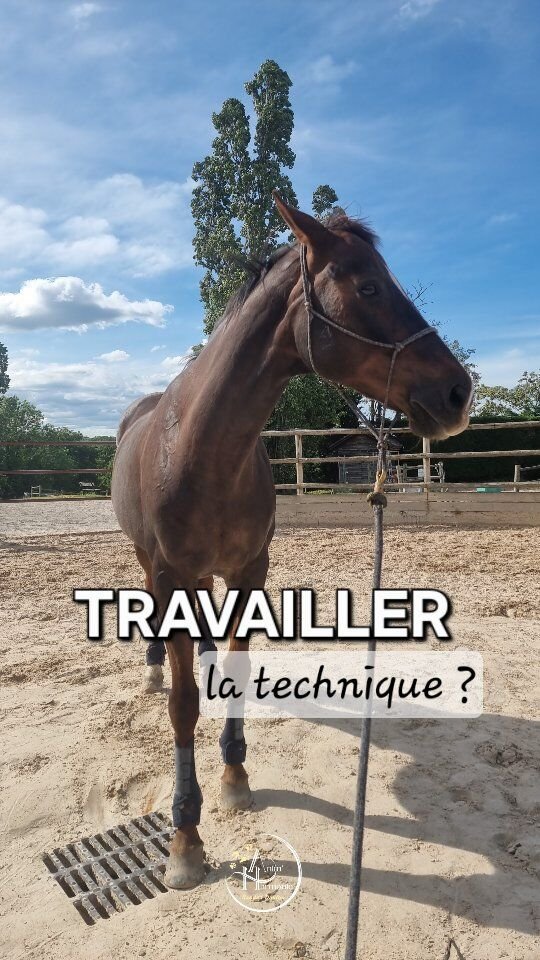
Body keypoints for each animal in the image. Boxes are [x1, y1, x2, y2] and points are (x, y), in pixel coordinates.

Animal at [111, 194, 473, 889]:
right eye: (367, 285)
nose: (457, 392)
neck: (202, 449)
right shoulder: (172, 575)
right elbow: (182, 708)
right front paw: (185, 838)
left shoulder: (250, 570)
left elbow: (235, 668)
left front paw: (234, 775)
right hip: (152, 565)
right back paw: (153, 667)